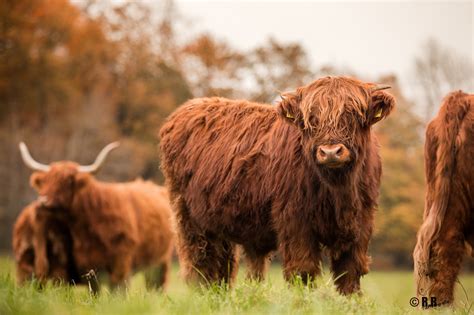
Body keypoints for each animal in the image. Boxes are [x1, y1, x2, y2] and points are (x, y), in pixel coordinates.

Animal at [160, 77, 396, 296]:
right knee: (199, 263)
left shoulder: (361, 224)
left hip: (220, 223)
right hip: (190, 219)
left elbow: (350, 274)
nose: (330, 152)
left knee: (223, 267)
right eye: (311, 118)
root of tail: (187, 108)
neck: (338, 190)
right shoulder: (295, 222)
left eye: (354, 114)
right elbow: (303, 271)